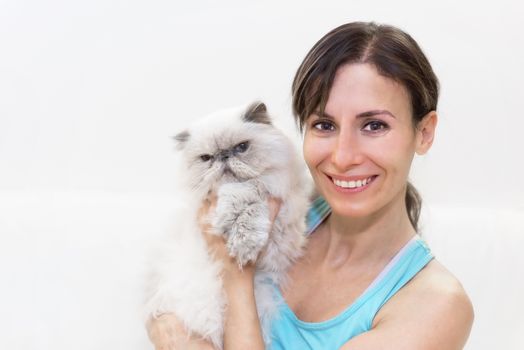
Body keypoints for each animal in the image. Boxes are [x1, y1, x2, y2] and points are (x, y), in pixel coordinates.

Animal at [143, 101, 312, 348]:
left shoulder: (280, 241)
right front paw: (228, 217)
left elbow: (253, 198)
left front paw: (243, 240)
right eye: (206, 158)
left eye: (242, 147)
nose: (222, 156)